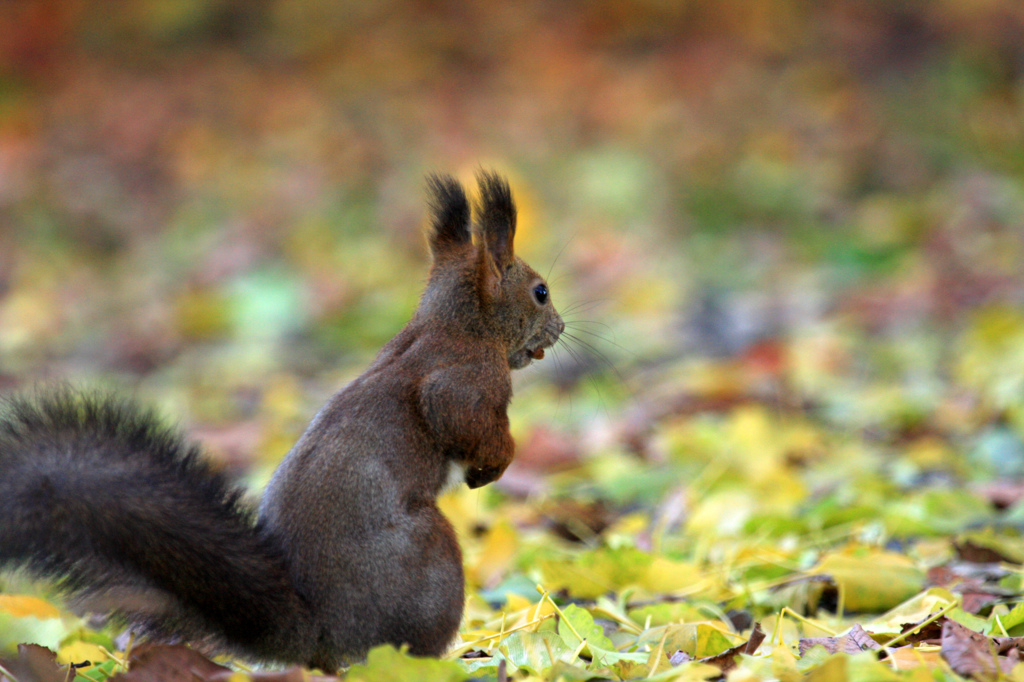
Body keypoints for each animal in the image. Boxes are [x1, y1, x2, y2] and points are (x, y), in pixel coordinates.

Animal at [0, 169, 565, 667]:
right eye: (540, 291)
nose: (560, 328)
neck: (458, 325)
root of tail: (319, 633)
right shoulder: (465, 379)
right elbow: (460, 417)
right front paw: (496, 463)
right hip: (431, 560)